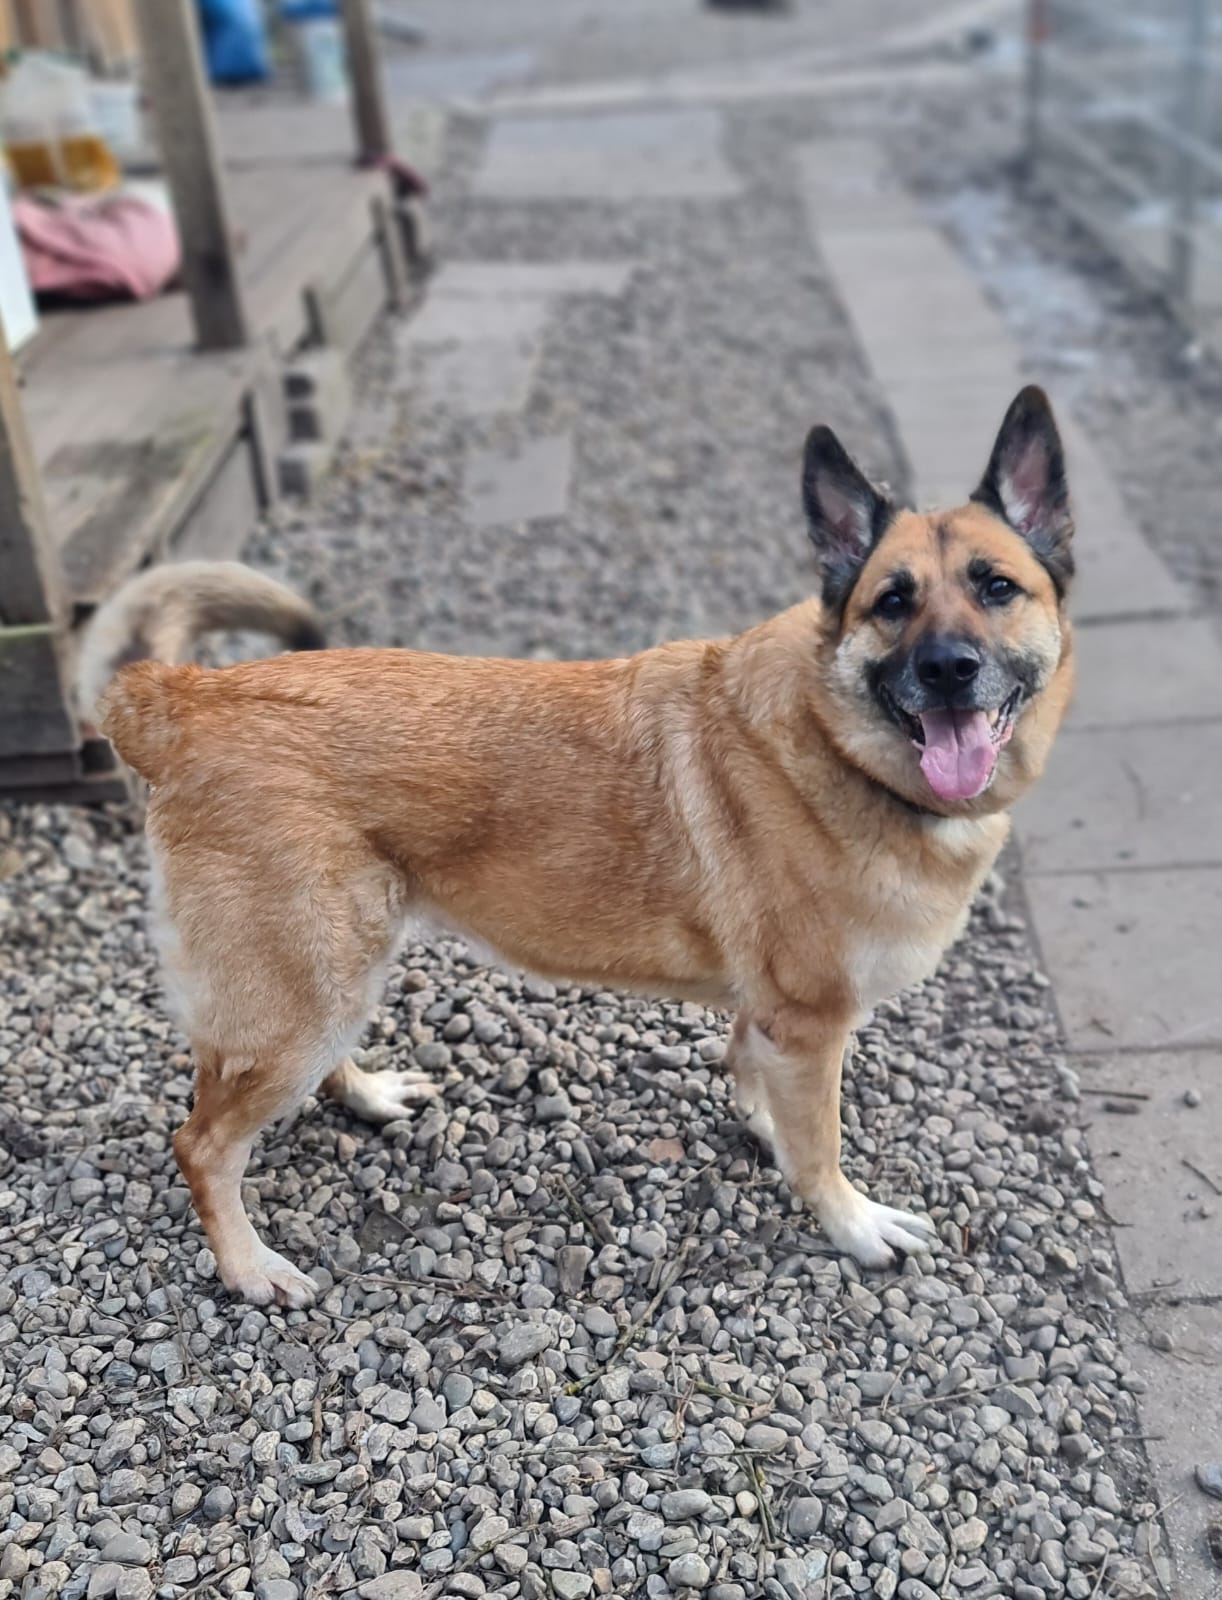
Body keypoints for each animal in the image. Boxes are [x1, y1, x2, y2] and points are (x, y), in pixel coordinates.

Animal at [98, 386, 1074, 1308]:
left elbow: (755, 1076)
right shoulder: (810, 1021)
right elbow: (820, 1146)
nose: (949, 670)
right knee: (201, 1143)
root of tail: (181, 698)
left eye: (997, 587)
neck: (837, 741)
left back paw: (367, 1095)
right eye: (893, 601)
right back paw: (247, 1267)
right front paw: (850, 1220)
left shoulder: (772, 1014)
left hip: (332, 972)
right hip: (305, 986)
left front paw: (762, 1125)